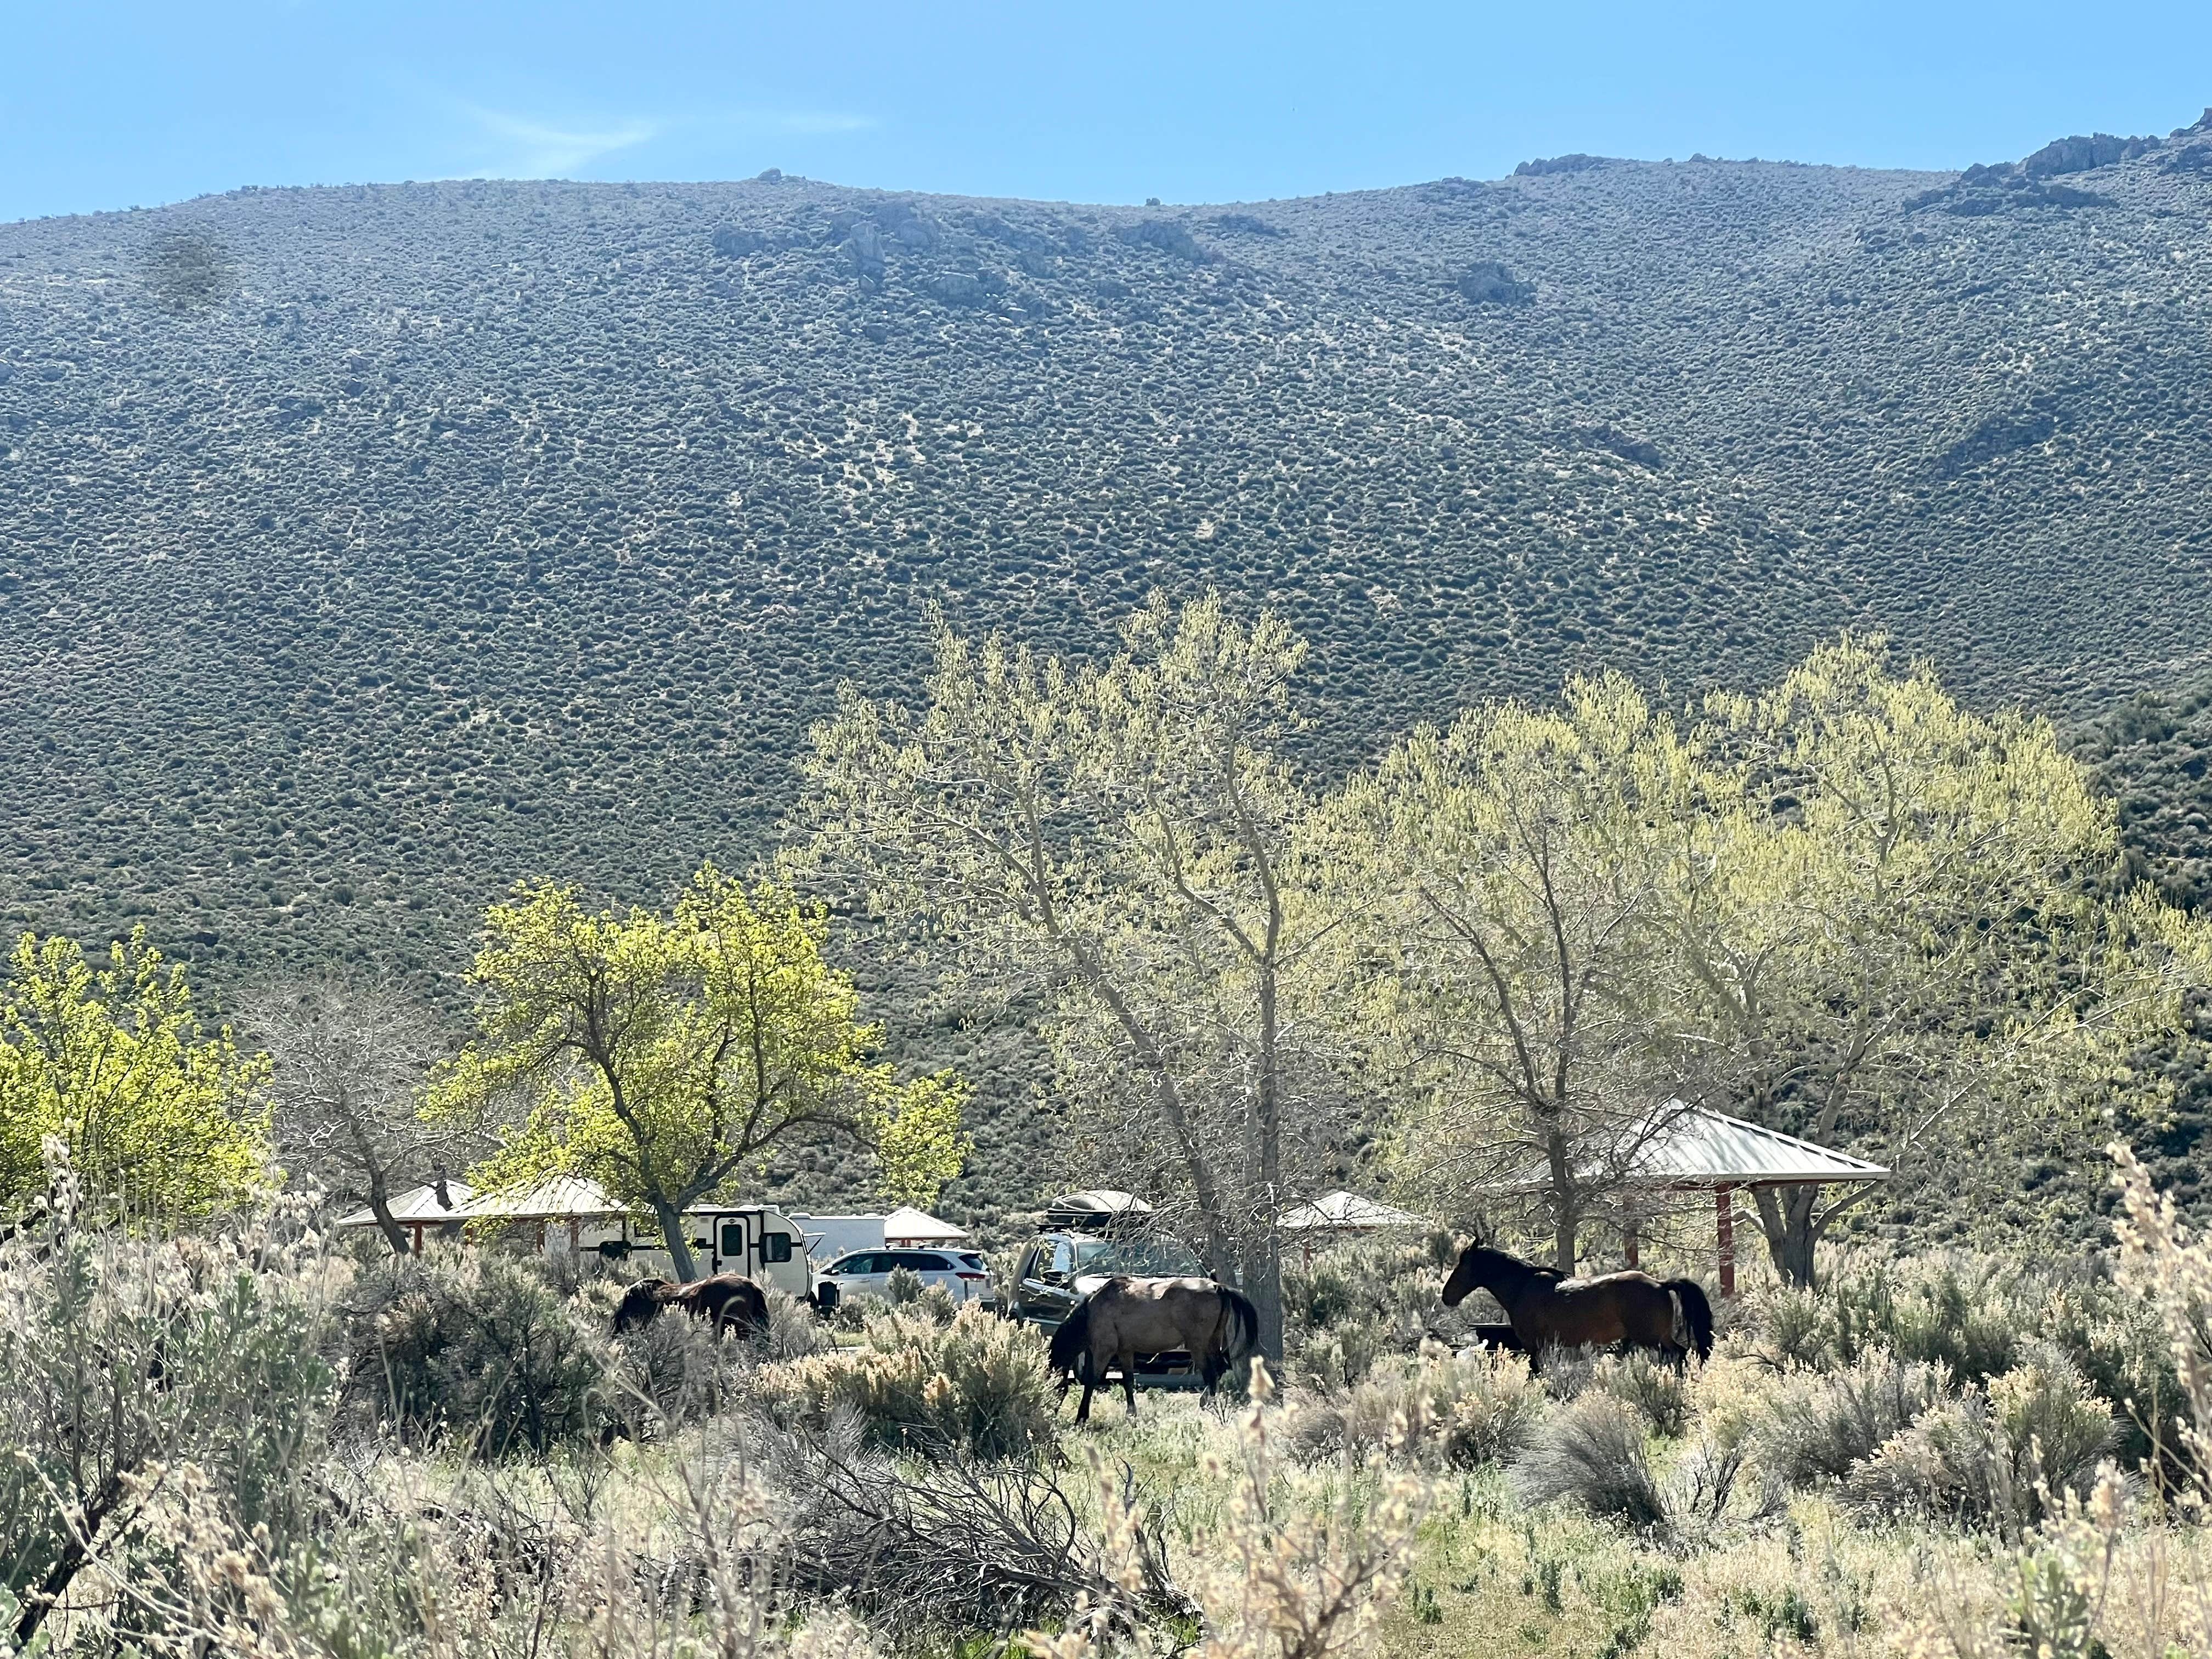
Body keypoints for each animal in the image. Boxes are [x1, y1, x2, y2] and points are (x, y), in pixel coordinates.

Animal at [1046, 1276, 1260, 1423]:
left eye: (1053, 1386)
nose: (1050, 1413)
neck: (1093, 1311)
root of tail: (1217, 1287)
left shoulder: (1103, 1350)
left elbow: (1091, 1380)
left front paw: (1081, 1417)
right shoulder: (1125, 1351)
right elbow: (1128, 1381)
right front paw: (1131, 1413)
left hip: (1198, 1346)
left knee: (1210, 1374)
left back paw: (1207, 1408)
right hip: (1212, 1342)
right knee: (1219, 1370)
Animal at [1440, 1241, 1713, 1369]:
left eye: (1462, 1265)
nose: (1446, 1296)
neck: (1522, 1287)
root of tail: (1660, 1284)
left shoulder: (1534, 1347)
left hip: (1653, 1337)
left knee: (1679, 1355)